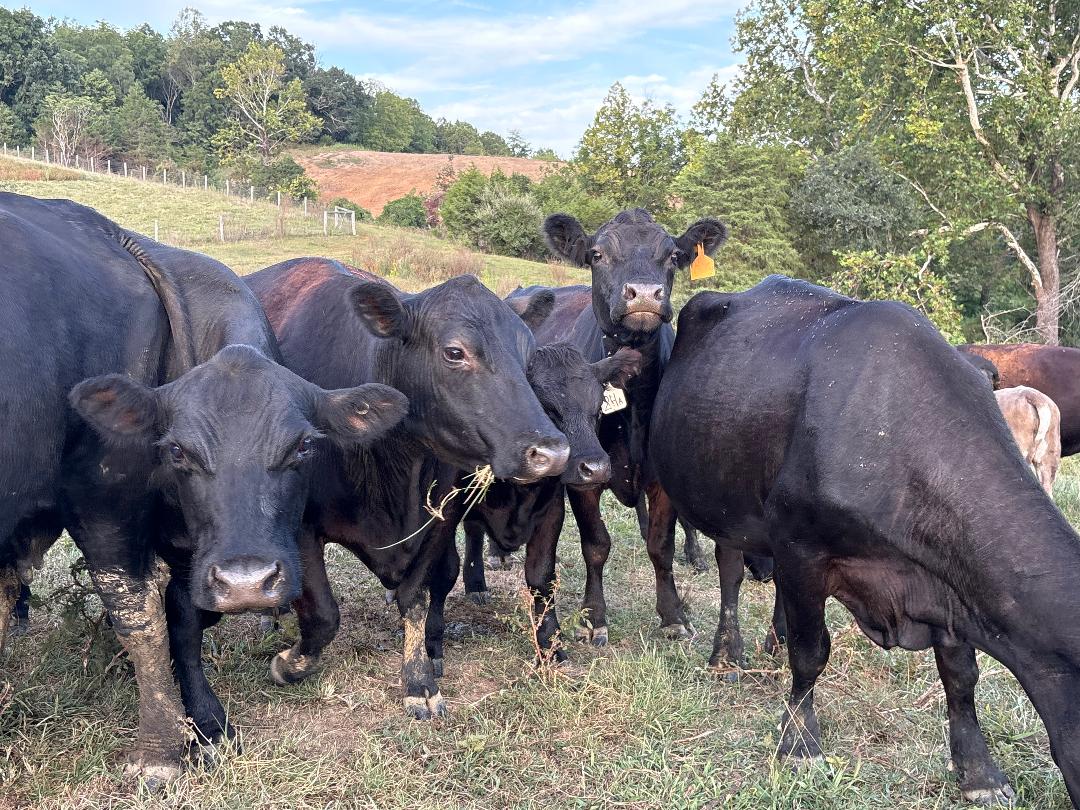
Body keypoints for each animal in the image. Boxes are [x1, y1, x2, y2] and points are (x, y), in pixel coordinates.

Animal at [0, 194, 407, 782]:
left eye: (304, 447)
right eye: (177, 451)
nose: (246, 582)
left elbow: (181, 617)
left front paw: (203, 725)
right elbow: (175, 619)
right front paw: (199, 727)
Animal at [245, 258, 569, 718]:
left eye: (527, 357)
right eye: (454, 352)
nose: (551, 452)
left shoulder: (439, 520)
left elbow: (414, 597)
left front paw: (418, 680)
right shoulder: (301, 524)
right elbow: (324, 615)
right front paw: (290, 664)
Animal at [536, 209, 728, 645]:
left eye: (673, 255)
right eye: (596, 254)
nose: (642, 294)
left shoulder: (661, 476)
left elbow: (661, 545)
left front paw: (672, 614)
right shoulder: (583, 474)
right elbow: (596, 544)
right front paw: (593, 616)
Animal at [650, 275, 1080, 805]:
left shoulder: (948, 582)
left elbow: (961, 675)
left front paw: (979, 773)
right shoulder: (802, 548)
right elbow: (811, 652)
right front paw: (800, 743)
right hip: (714, 499)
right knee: (728, 573)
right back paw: (726, 653)